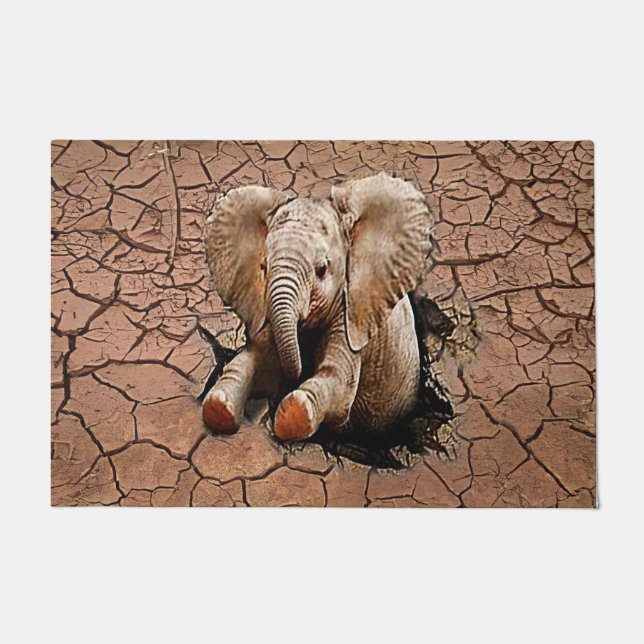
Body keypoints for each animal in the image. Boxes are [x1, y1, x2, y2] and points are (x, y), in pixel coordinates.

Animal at [201, 172, 437, 444]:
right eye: (264, 268)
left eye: (322, 269)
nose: (295, 375)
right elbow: (252, 360)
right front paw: (218, 408)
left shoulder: (352, 317)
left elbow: (338, 379)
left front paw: (292, 414)